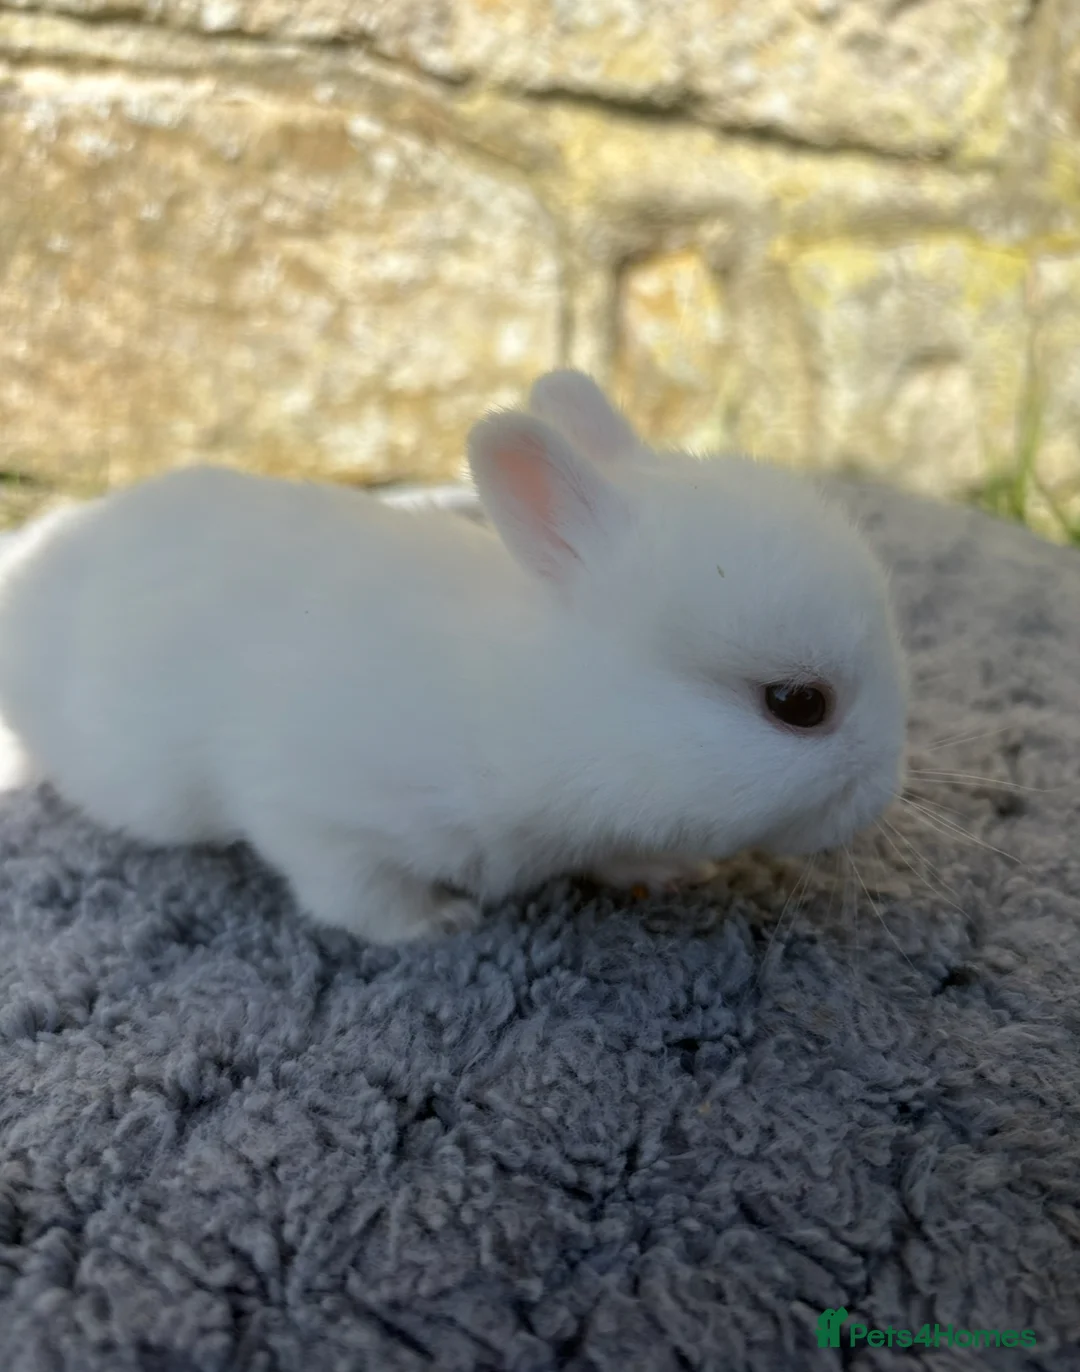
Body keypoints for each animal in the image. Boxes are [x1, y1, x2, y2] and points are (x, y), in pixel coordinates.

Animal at [0, 371, 907, 943]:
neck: (537, 705)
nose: (883, 797)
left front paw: (670, 867)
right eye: (797, 704)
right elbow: (353, 892)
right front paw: (434, 925)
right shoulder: (313, 811)